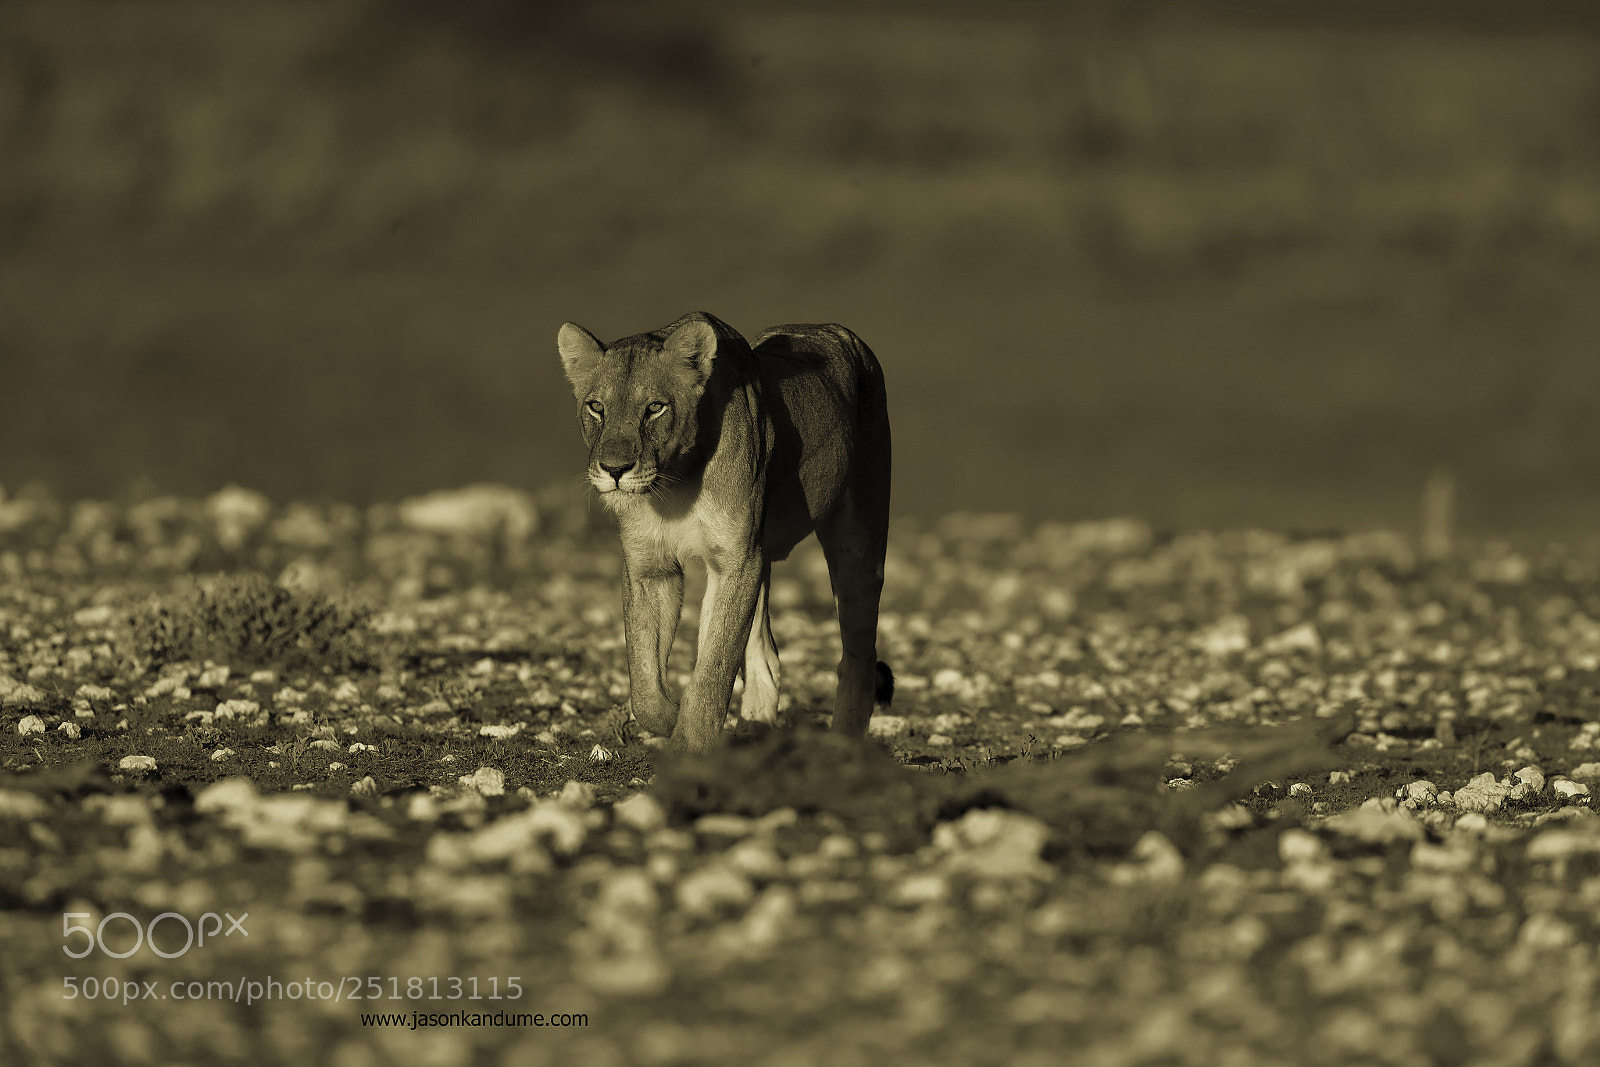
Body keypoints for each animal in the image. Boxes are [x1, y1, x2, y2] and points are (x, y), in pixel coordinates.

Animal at [557, 311, 893, 753]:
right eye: (596, 407)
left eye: (655, 408)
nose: (614, 470)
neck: (676, 482)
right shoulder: (650, 565)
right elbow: (644, 673)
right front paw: (668, 720)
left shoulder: (736, 560)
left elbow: (713, 667)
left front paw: (690, 744)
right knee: (766, 651)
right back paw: (755, 730)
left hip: (858, 545)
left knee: (858, 655)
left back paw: (844, 742)